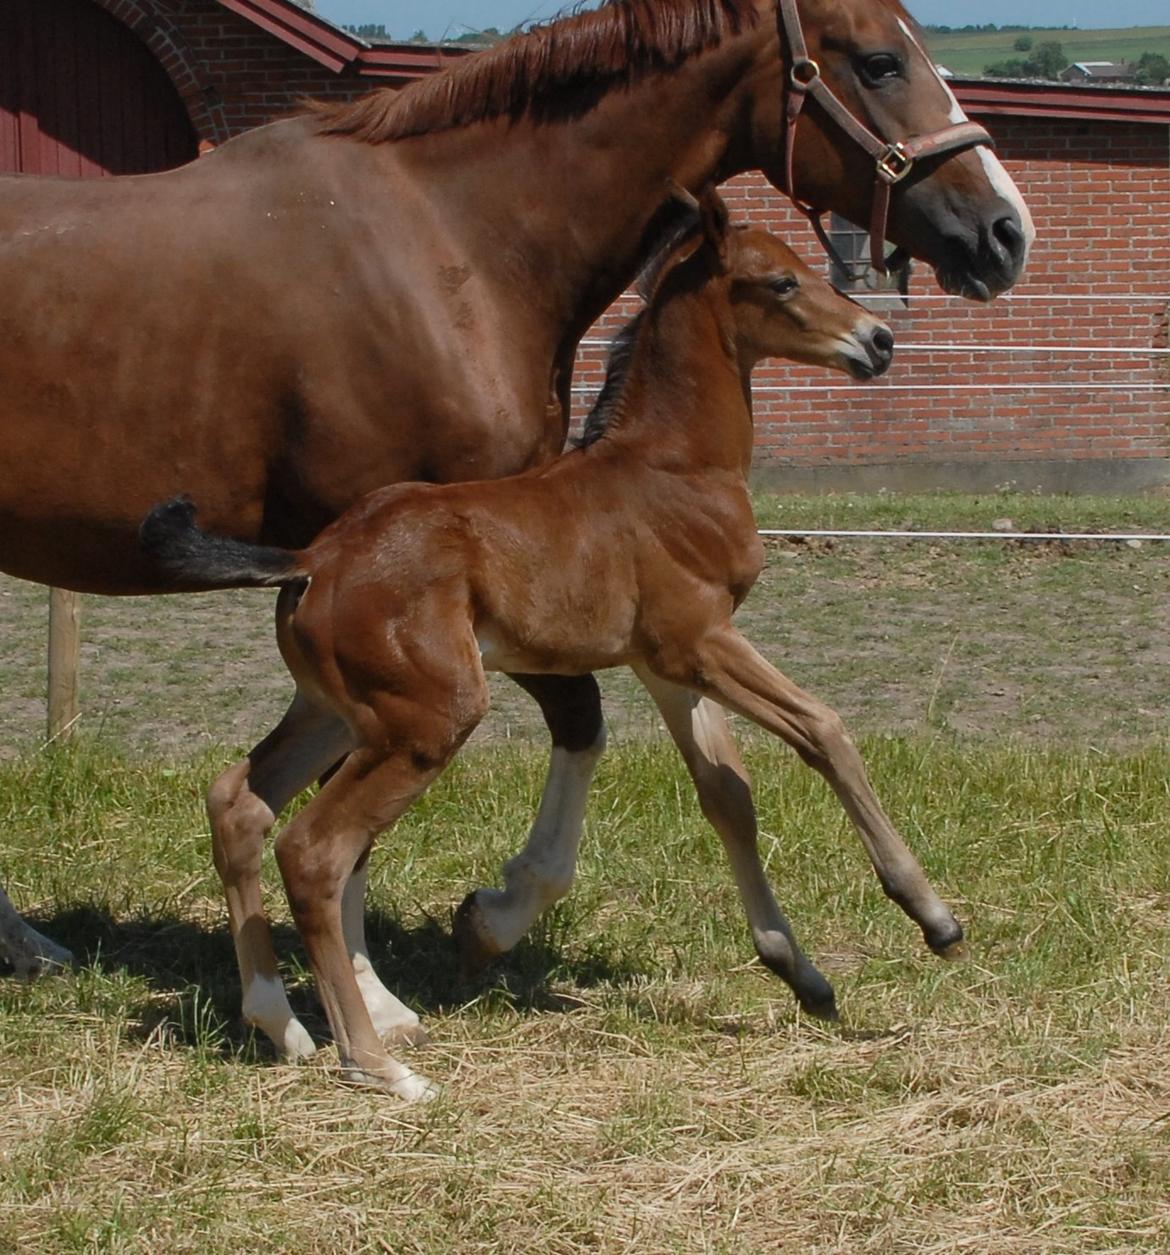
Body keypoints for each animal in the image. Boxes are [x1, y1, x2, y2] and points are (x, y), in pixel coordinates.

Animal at [0, 0, 1034, 978]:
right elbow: (566, 729)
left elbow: (691, 766)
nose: (1004, 232)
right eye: (881, 61)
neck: (452, 238)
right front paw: (459, 940)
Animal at [139, 190, 959, 1094]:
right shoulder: (701, 640)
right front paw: (932, 915)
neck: (672, 469)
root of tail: (317, 557)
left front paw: (803, 974)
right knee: (315, 850)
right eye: (781, 281)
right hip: (428, 718)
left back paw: (279, 1022)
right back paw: (378, 1063)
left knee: (239, 800)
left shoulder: (667, 662)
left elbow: (728, 794)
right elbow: (824, 728)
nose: (877, 340)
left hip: (341, 710)